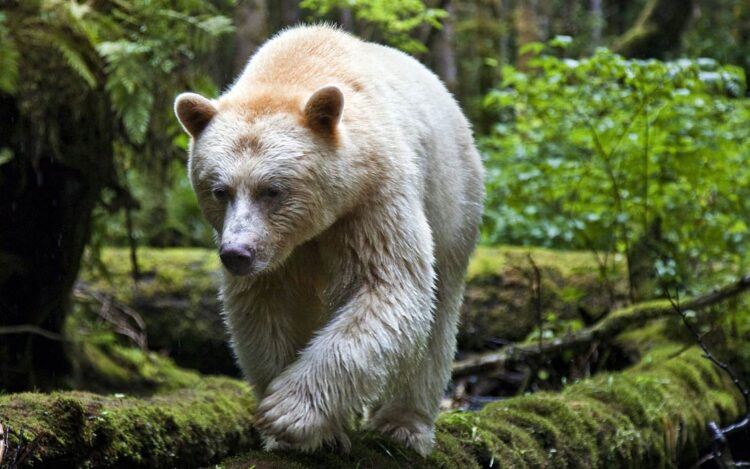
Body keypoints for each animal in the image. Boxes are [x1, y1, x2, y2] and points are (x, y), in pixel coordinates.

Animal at [174, 24, 484, 454]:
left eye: (272, 190)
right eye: (219, 190)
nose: (237, 253)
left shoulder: (373, 200)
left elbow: (387, 288)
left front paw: (288, 412)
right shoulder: (278, 256)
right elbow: (265, 309)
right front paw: (300, 433)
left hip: (453, 201)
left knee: (438, 314)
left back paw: (404, 424)